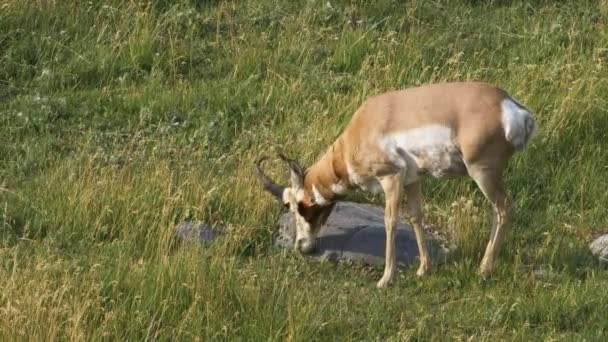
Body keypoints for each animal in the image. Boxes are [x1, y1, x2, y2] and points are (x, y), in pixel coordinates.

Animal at [254, 81, 536, 288]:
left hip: (483, 172)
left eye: (294, 205)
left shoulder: (391, 178)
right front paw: (423, 269)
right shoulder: (413, 180)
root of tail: (511, 106)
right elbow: (416, 217)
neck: (363, 127)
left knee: (504, 208)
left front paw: (385, 279)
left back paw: (484, 270)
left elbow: (391, 221)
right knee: (497, 211)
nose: (301, 246)